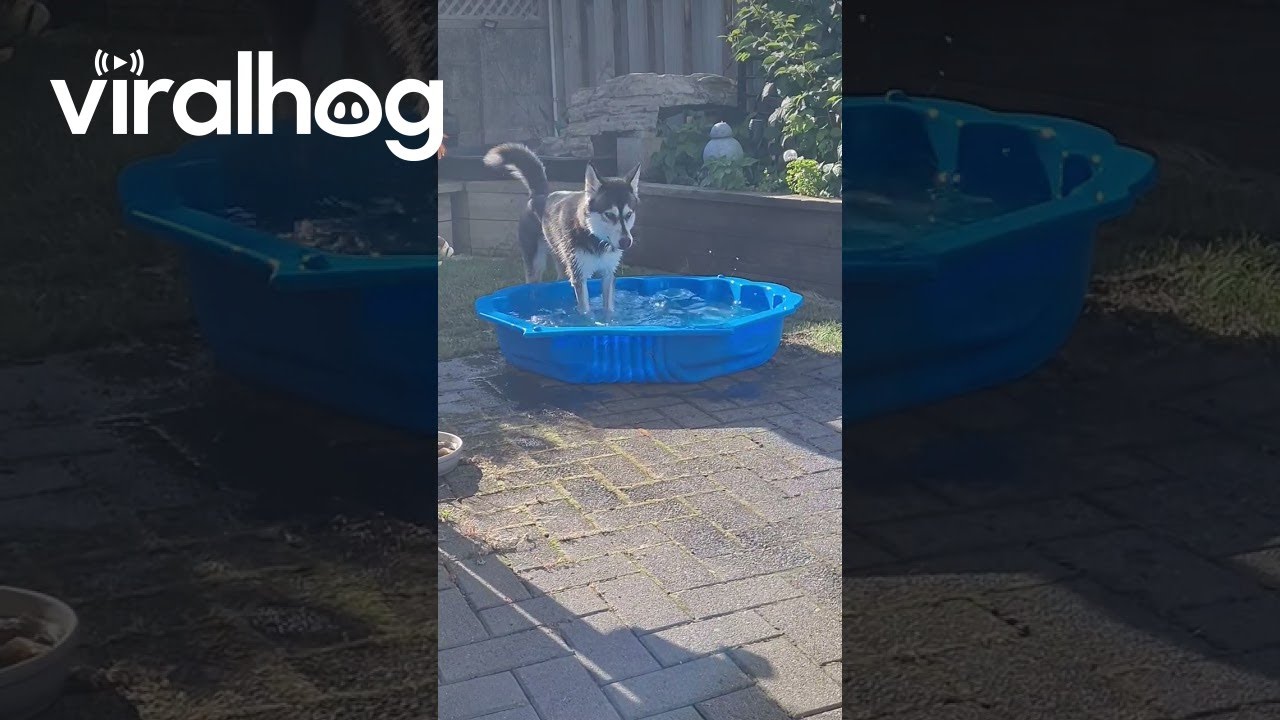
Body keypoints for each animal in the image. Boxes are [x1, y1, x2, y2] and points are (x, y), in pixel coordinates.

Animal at [481, 142, 637, 313]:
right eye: (609, 214)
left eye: (629, 214)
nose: (626, 242)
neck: (593, 237)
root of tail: (540, 195)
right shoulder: (579, 276)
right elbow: (585, 311)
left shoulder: (608, 274)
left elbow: (608, 310)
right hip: (536, 264)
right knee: (532, 285)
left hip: (561, 260)